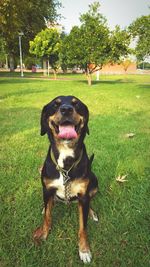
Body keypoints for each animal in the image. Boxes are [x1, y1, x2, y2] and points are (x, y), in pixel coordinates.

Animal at [33, 96, 98, 264]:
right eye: (55, 104)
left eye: (76, 103)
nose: (66, 109)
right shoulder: (47, 188)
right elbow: (47, 216)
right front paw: (43, 233)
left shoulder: (83, 195)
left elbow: (83, 227)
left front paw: (84, 250)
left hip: (94, 183)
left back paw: (92, 213)